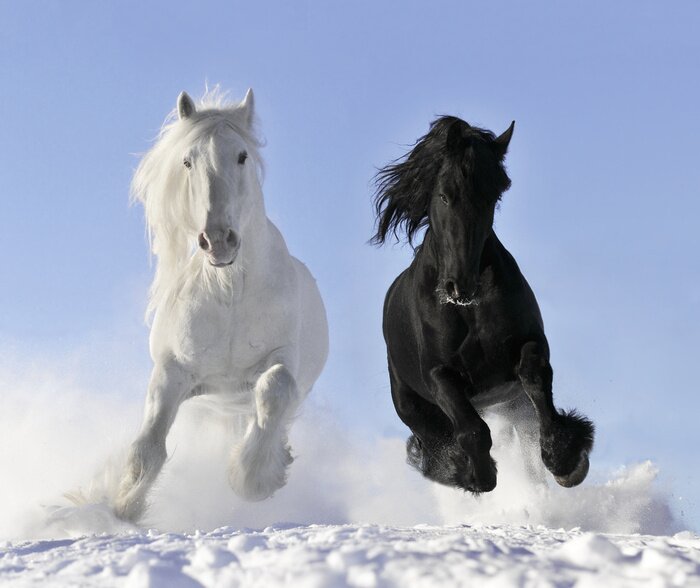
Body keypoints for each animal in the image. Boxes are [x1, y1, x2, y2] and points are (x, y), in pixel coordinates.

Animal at [114, 88, 328, 522]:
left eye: (242, 155)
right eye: (187, 160)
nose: (217, 240)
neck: (229, 292)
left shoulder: (282, 359)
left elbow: (275, 388)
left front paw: (252, 479)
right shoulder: (173, 372)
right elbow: (148, 446)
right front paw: (123, 506)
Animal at [372, 116, 594, 494]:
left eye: (492, 196)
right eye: (444, 195)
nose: (459, 285)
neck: (467, 310)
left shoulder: (529, 345)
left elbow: (535, 379)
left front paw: (566, 460)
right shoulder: (439, 375)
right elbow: (472, 429)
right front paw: (476, 474)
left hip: (513, 405)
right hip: (413, 406)